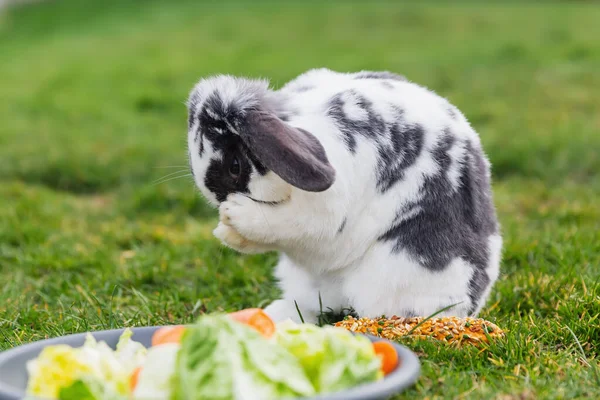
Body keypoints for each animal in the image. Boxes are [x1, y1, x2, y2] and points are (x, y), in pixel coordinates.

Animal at [184, 68, 502, 322]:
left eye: (235, 166)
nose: (223, 201)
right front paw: (226, 230)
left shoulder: (325, 209)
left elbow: (287, 223)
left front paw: (233, 217)